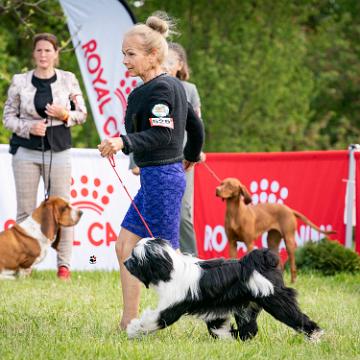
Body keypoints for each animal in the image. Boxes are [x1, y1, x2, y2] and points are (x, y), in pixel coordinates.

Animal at [124, 238, 324, 342]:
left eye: (134, 258)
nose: (125, 262)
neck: (171, 269)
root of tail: (259, 262)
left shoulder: (172, 306)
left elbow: (155, 320)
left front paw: (133, 329)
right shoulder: (216, 311)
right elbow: (217, 325)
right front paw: (225, 337)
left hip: (275, 299)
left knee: (296, 317)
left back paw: (314, 336)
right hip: (247, 306)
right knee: (250, 328)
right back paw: (238, 338)